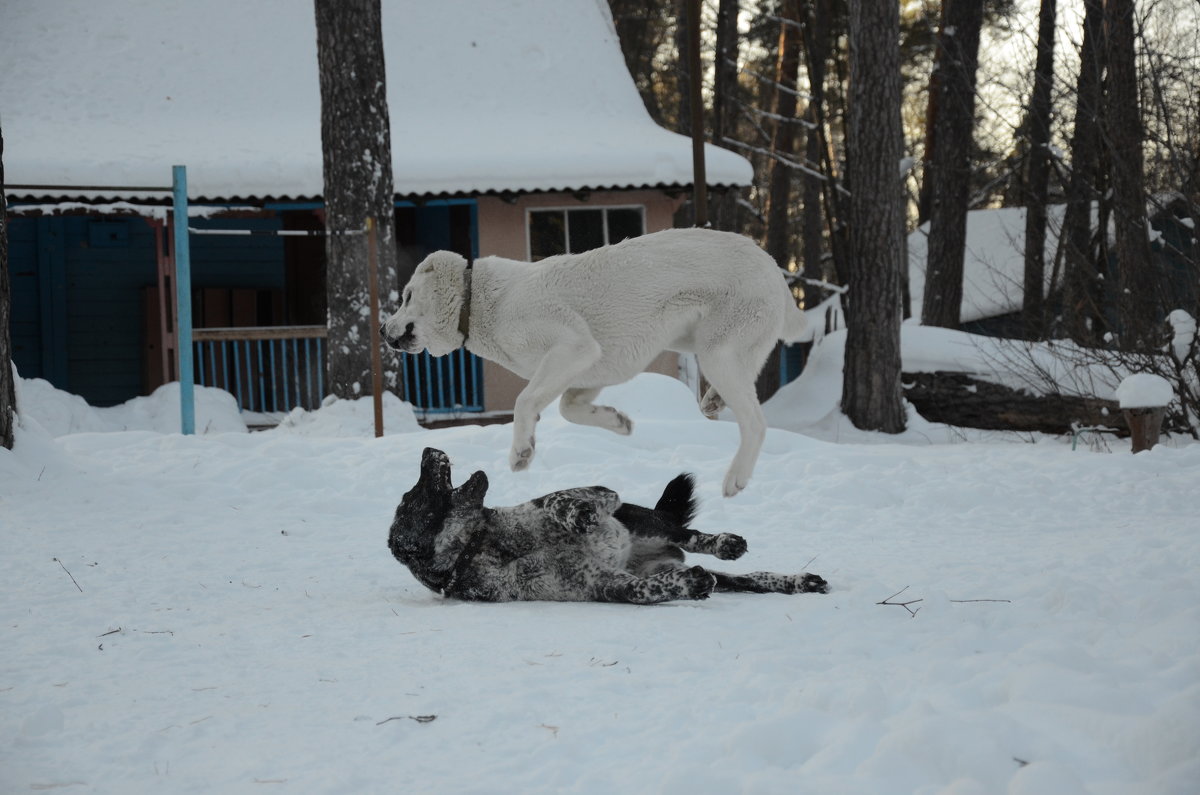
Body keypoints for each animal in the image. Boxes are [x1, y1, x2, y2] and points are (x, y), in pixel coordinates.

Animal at [386, 225, 806, 499]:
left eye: (406, 297)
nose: (382, 330)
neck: (476, 302)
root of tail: (773, 267)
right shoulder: (589, 370)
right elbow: (569, 410)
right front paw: (617, 422)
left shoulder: (574, 347)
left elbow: (525, 401)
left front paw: (521, 451)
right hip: (707, 345)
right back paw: (713, 401)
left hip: (718, 352)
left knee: (756, 423)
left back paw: (736, 478)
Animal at [388, 449, 830, 605]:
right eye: (411, 498)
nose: (428, 449)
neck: (482, 544)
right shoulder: (603, 585)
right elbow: (645, 591)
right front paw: (687, 586)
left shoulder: (600, 493)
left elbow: (560, 500)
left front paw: (578, 517)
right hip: (670, 559)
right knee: (748, 579)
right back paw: (795, 581)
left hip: (645, 521)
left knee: (690, 536)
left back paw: (724, 542)